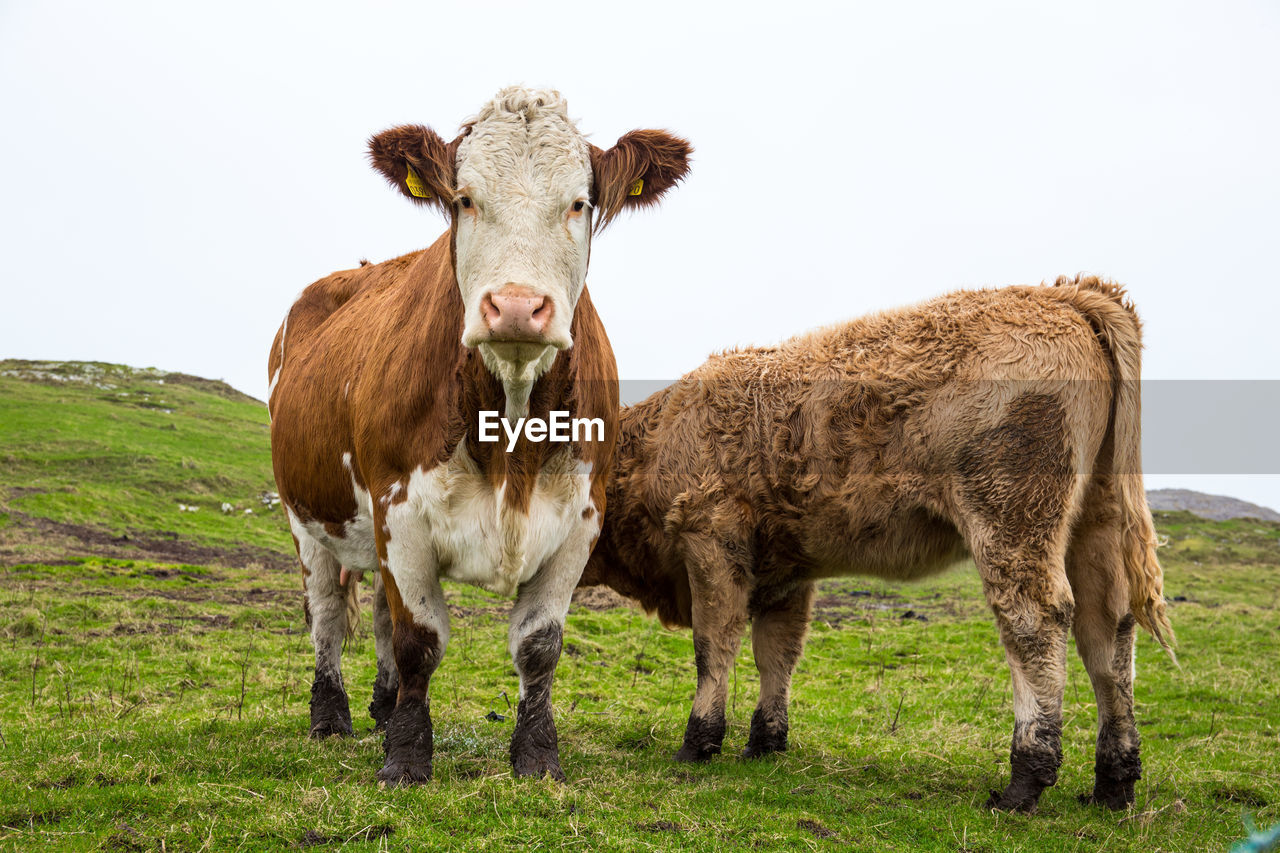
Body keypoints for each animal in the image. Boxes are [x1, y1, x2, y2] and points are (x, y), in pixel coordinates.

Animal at [267, 87, 691, 783]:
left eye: (579, 202)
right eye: (464, 198)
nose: (517, 307)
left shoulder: (580, 518)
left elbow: (539, 645)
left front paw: (537, 756)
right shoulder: (399, 510)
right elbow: (419, 640)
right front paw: (407, 758)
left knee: (376, 611)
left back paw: (382, 708)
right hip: (308, 520)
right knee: (327, 614)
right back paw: (331, 718)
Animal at [586, 277, 1172, 809]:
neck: (659, 437)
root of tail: (1064, 294)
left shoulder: (712, 542)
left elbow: (715, 647)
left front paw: (698, 743)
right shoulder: (786, 573)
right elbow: (777, 655)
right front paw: (764, 744)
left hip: (1012, 521)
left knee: (1036, 622)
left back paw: (1023, 782)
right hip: (1095, 525)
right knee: (1107, 635)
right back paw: (1112, 785)